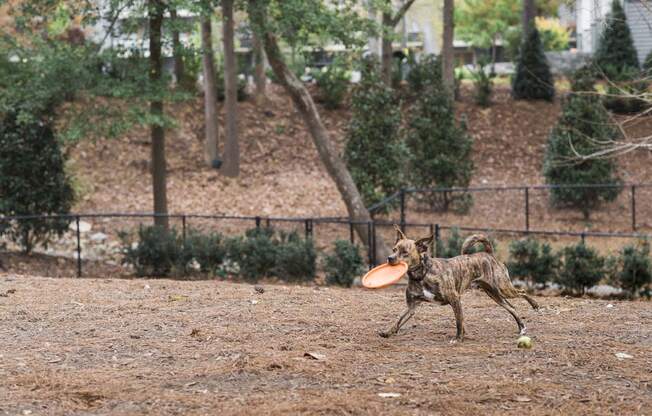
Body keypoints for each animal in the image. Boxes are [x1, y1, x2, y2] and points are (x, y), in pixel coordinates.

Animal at [380, 226, 536, 340]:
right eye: (394, 249)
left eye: (405, 253)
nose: (389, 258)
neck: (422, 275)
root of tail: (489, 254)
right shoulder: (412, 306)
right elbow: (399, 319)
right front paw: (388, 331)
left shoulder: (455, 299)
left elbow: (459, 321)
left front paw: (458, 338)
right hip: (495, 295)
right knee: (512, 307)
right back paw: (522, 328)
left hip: (503, 288)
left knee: (522, 292)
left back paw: (535, 305)